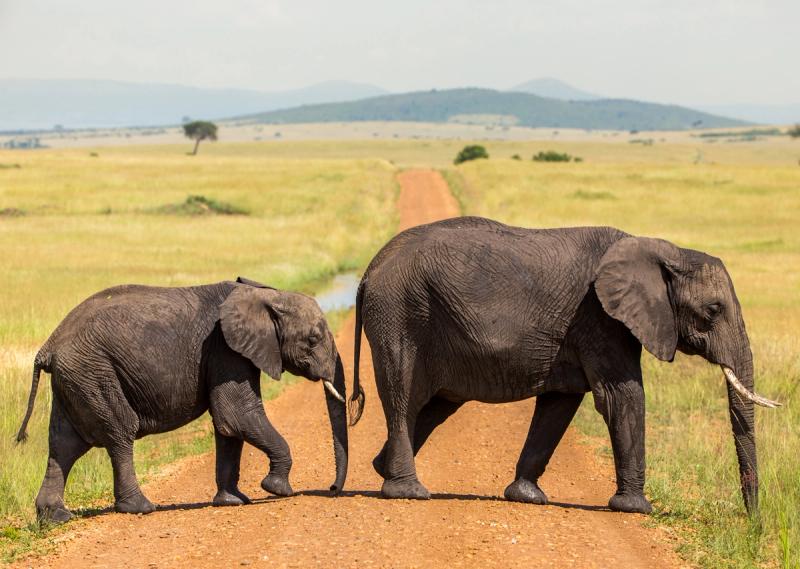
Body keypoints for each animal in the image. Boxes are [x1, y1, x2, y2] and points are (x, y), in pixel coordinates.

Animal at [16, 277, 348, 523]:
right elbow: (236, 414)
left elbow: (228, 426)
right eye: (313, 340)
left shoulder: (226, 353)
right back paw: (140, 508)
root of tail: (48, 346)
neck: (265, 294)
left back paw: (55, 517)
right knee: (119, 433)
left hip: (76, 379)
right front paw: (276, 489)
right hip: (94, 372)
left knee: (64, 445)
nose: (333, 489)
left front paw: (232, 502)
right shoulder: (225, 349)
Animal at [348, 216, 779, 514]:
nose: (752, 522)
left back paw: (383, 469)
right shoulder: (600, 318)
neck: (662, 250)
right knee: (403, 397)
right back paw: (409, 492)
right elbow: (622, 397)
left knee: (434, 406)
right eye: (713, 310)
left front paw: (527, 497)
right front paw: (637, 508)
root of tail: (369, 271)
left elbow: (560, 404)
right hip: (400, 315)